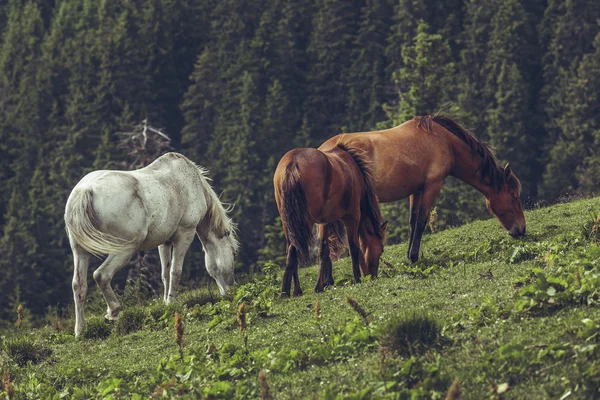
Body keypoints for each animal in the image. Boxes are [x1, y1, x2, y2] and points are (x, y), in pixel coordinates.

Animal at [62, 152, 237, 336]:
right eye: (234, 254)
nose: (230, 291)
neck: (191, 182)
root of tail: (86, 190)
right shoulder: (185, 234)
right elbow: (176, 271)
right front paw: (172, 302)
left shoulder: (165, 241)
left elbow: (165, 274)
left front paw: (165, 301)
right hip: (124, 249)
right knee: (101, 275)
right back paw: (114, 311)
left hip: (80, 251)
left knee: (79, 285)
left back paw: (80, 331)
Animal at [272, 141, 384, 296]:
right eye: (381, 250)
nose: (373, 276)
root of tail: (293, 163)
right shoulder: (353, 217)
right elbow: (353, 248)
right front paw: (357, 279)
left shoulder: (324, 222)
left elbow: (323, 251)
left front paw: (320, 286)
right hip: (306, 221)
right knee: (294, 250)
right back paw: (286, 292)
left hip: (287, 223)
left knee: (291, 252)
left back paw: (294, 291)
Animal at [318, 114, 524, 262]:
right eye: (514, 196)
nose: (521, 229)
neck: (444, 141)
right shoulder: (432, 187)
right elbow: (422, 222)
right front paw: (414, 257)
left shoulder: (415, 191)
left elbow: (412, 222)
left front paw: (409, 255)